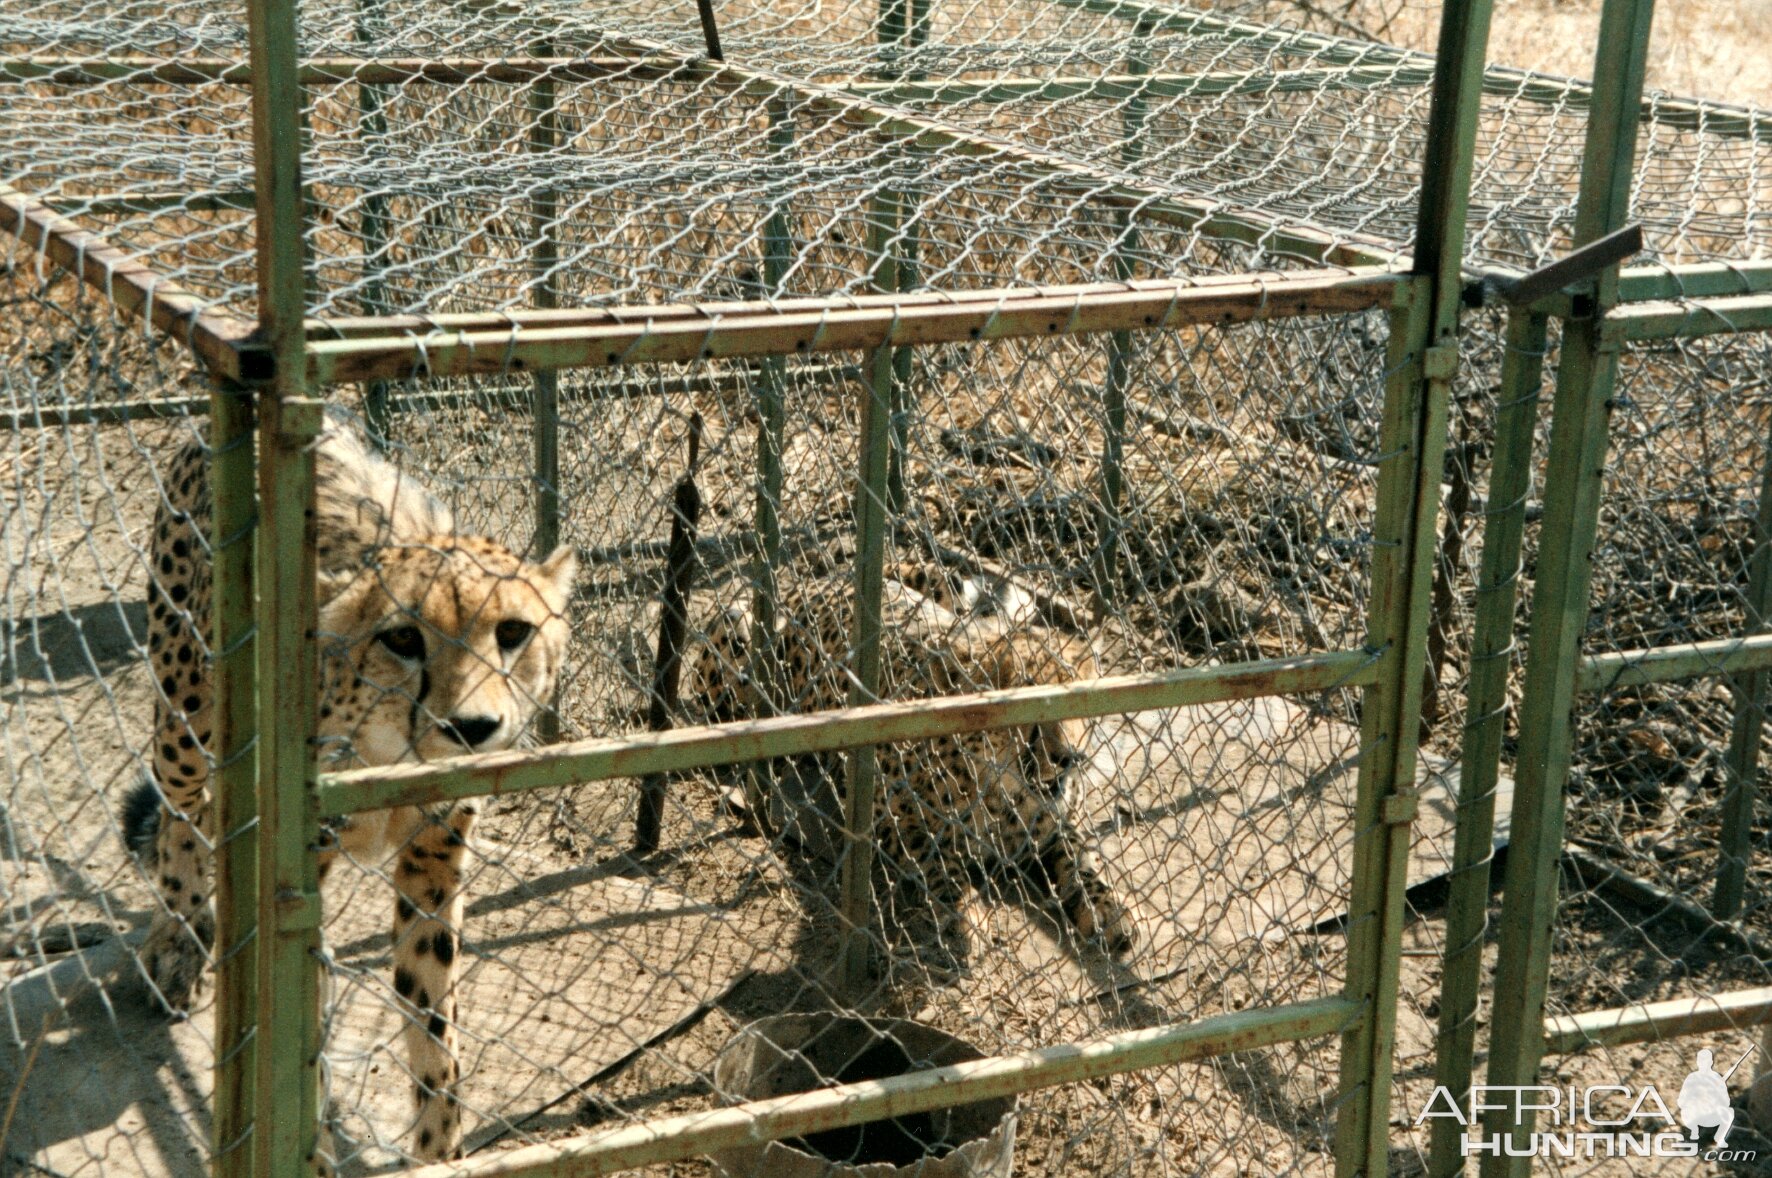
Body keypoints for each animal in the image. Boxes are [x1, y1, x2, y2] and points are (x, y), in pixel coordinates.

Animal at [126, 409, 581, 1162]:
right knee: (178, 808)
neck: (392, 751)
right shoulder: (295, 874)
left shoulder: (434, 862)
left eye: (513, 631)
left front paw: (440, 1150)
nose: (473, 727)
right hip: (188, 707)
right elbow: (299, 1024)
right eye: (402, 639)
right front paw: (312, 1148)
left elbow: (432, 1016)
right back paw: (178, 938)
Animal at [683, 566, 1141, 970]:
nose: (1070, 757)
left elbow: (1080, 857)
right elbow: (945, 868)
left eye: (1084, 700)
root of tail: (818, 579)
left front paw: (1108, 908)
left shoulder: (1051, 821)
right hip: (737, 641)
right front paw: (967, 921)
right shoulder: (894, 816)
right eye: (1031, 705)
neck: (999, 782)